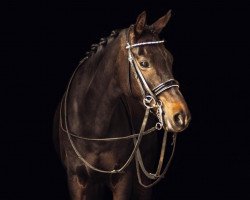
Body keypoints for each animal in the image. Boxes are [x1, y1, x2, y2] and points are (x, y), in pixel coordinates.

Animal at [52, 10, 189, 200]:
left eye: (170, 59)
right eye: (144, 63)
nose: (181, 115)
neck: (93, 124)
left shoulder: (122, 180)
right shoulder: (76, 181)